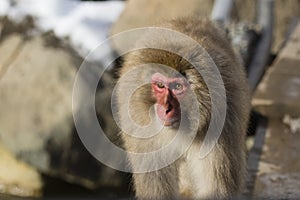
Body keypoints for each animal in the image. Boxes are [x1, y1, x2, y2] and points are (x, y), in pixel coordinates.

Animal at [115, 16, 251, 199]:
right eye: (160, 85)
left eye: (178, 87)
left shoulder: (224, 119)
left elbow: (216, 189)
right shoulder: (141, 128)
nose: (166, 108)